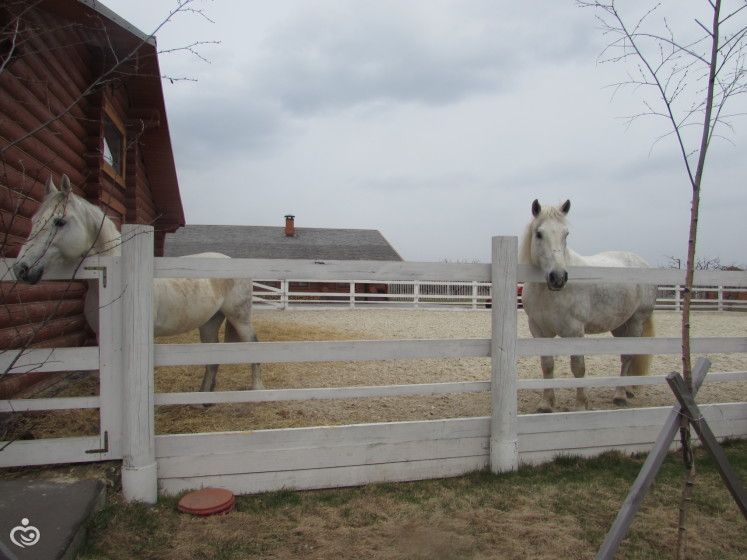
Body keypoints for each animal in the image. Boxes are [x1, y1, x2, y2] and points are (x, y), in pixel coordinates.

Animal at [11, 177, 262, 392]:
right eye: (33, 221)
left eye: (59, 221)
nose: (21, 268)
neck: (116, 278)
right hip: (209, 321)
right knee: (212, 358)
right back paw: (204, 399)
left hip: (239, 318)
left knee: (254, 344)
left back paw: (256, 390)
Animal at [520, 200, 656, 412]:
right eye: (539, 233)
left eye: (566, 234)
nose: (558, 277)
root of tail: (642, 263)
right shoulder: (539, 330)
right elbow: (547, 364)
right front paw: (546, 404)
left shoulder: (575, 331)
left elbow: (578, 367)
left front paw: (581, 404)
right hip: (620, 325)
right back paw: (627, 390)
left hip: (636, 321)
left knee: (627, 356)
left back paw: (620, 395)